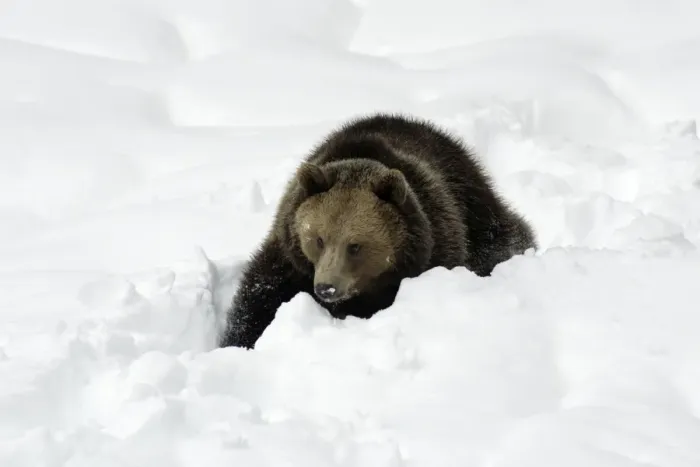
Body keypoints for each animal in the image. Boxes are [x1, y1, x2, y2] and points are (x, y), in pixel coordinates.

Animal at [219, 113, 537, 349]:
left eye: (355, 245)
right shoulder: (290, 259)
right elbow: (257, 303)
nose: (326, 288)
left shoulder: (436, 245)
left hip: (473, 205)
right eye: (318, 239)